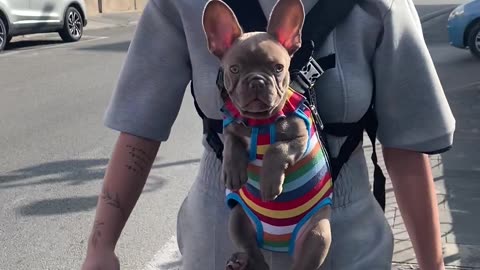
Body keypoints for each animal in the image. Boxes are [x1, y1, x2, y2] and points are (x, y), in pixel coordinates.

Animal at [202, 0, 334, 270]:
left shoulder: (300, 138)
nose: (256, 81)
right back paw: (240, 262)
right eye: (234, 69)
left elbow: (277, 148)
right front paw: (233, 171)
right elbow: (231, 141)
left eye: (278, 68)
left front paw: (268, 184)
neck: (260, 121)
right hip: (237, 220)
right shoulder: (232, 125)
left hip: (319, 234)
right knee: (255, 254)